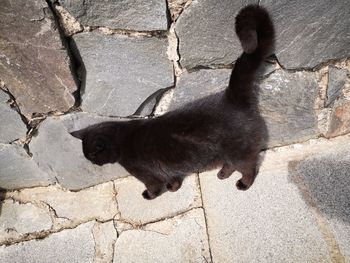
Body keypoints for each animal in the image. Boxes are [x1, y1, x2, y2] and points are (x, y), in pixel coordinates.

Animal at [70, 5, 274, 200]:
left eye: (93, 155)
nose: (93, 162)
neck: (121, 142)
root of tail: (231, 96)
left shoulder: (148, 176)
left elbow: (153, 186)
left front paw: (149, 196)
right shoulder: (167, 171)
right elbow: (173, 179)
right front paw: (174, 188)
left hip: (238, 151)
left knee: (248, 167)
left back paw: (243, 184)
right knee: (231, 164)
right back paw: (222, 174)